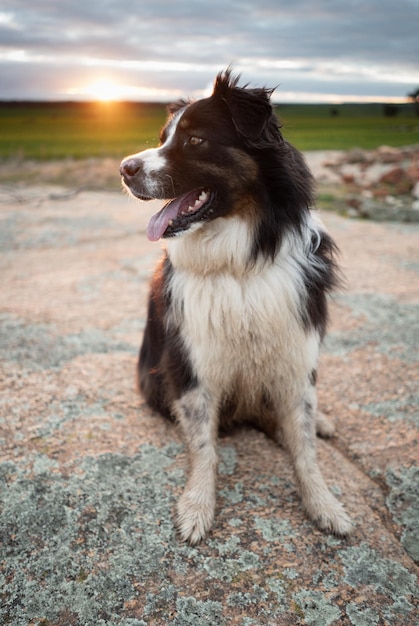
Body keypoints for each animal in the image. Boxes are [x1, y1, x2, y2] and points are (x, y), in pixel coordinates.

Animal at [120, 68, 352, 540]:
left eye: (195, 140)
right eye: (164, 137)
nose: (124, 168)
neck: (240, 261)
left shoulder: (296, 353)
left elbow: (303, 445)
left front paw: (323, 503)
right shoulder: (192, 361)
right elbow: (203, 445)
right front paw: (197, 506)